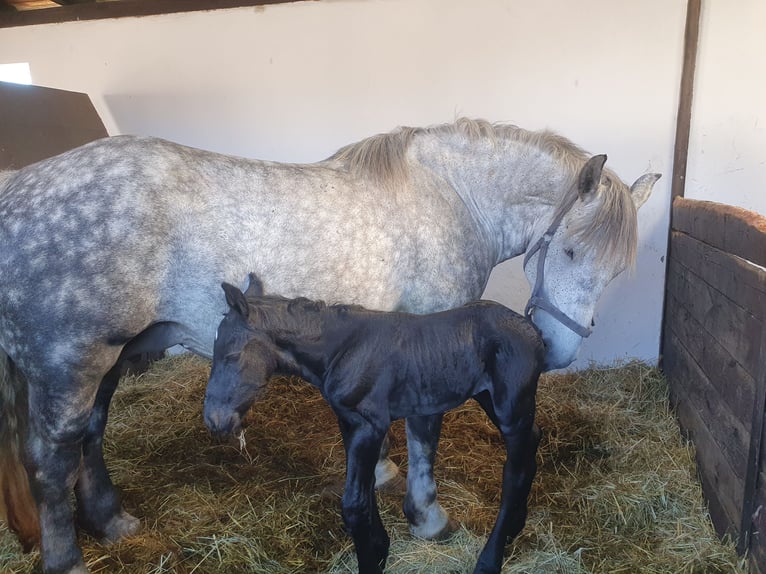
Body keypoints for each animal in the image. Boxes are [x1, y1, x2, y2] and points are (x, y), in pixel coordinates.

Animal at [204, 276, 544, 572]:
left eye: (232, 355)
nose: (214, 419)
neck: (342, 350)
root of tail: (532, 329)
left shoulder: (370, 427)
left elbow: (354, 504)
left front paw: (372, 558)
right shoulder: (350, 423)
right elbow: (365, 492)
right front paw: (380, 548)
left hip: (511, 409)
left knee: (514, 472)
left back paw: (490, 559)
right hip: (492, 399)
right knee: (534, 438)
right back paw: (516, 525)